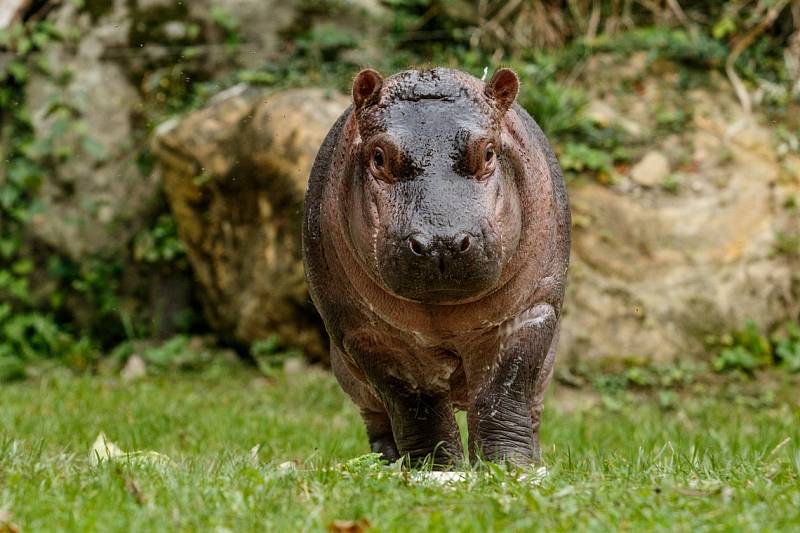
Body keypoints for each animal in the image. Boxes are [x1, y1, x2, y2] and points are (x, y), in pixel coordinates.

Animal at [304, 67, 572, 466]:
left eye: (489, 152)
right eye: (379, 156)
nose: (440, 241)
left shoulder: (531, 312)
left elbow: (504, 393)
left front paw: (507, 464)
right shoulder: (366, 333)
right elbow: (416, 403)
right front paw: (437, 467)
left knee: (529, 408)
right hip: (351, 377)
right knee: (378, 419)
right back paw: (386, 460)